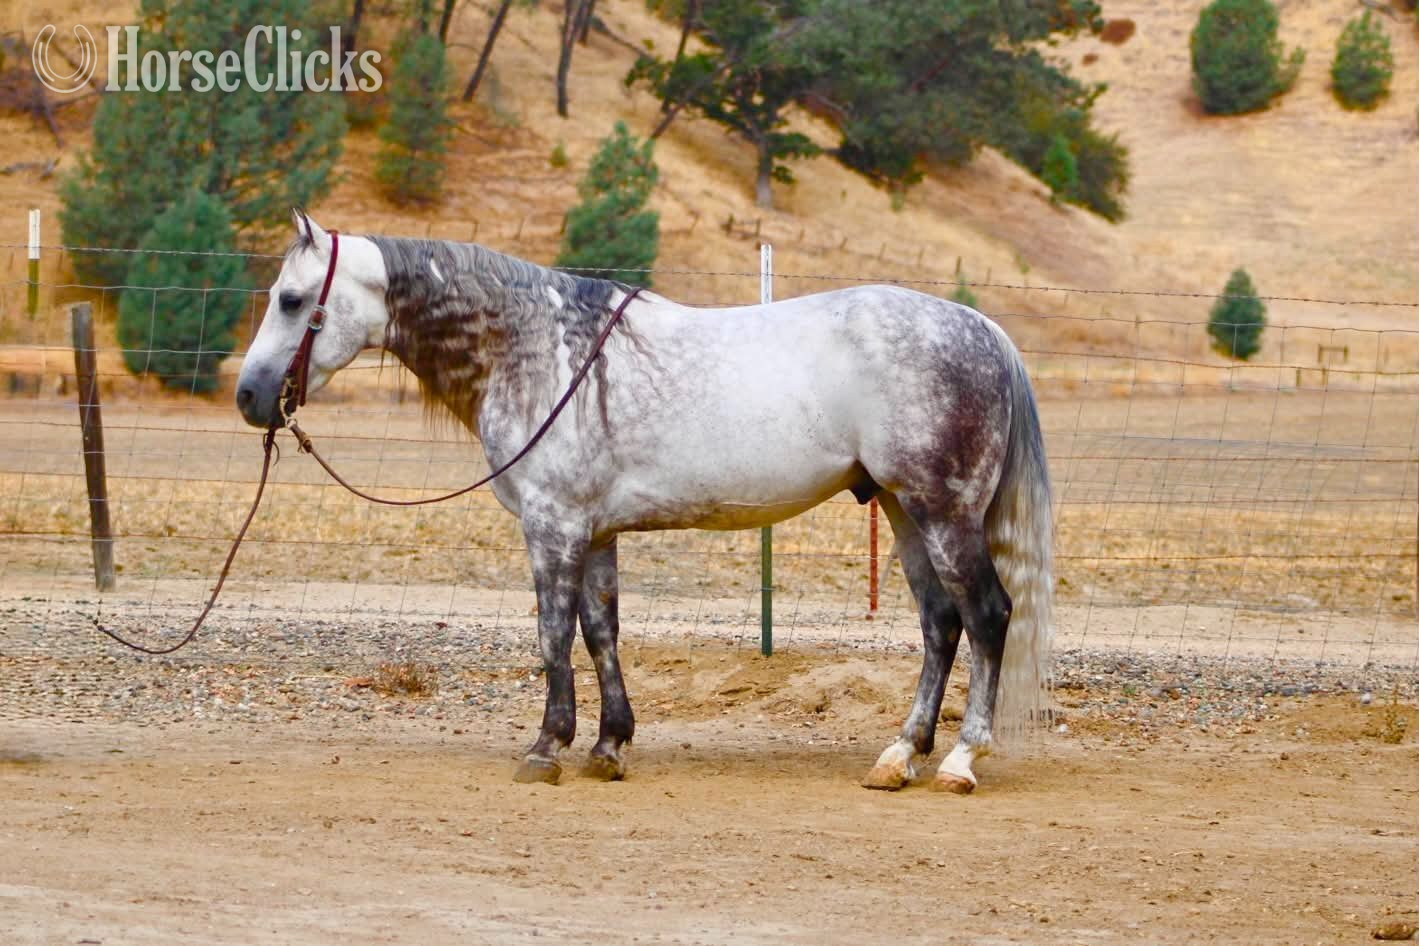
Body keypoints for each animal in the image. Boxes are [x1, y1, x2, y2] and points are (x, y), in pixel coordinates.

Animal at [236, 211, 1053, 794]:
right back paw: (900, 755)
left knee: (987, 616)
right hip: (903, 510)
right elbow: (601, 632)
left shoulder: (554, 527)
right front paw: (608, 745)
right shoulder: (594, 533)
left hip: (943, 515)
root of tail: (983, 328)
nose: (249, 397)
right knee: (940, 624)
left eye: (291, 299)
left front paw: (547, 747)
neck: (536, 349)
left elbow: (552, 636)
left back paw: (960, 760)